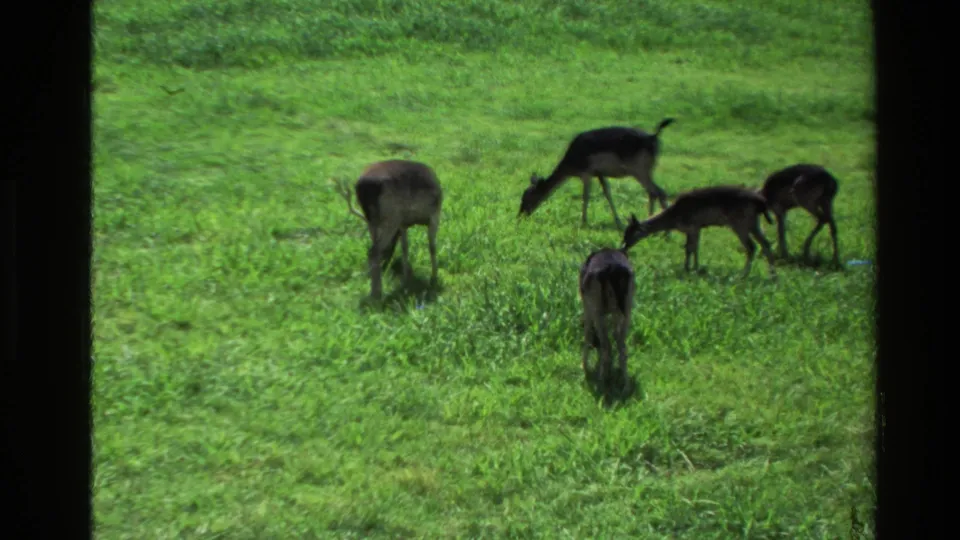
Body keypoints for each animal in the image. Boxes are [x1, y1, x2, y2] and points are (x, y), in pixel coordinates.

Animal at [334, 160, 443, 301]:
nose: (386, 265)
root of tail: (364, 187)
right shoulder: (434, 216)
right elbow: (432, 247)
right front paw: (434, 277)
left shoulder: (403, 224)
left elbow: (405, 247)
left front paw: (406, 277)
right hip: (391, 216)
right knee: (373, 252)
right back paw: (377, 293)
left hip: (373, 220)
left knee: (373, 248)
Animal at [517, 118, 676, 230]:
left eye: (527, 197)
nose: (520, 215)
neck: (572, 166)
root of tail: (654, 137)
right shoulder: (599, 173)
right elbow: (607, 193)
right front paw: (618, 222)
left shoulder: (586, 172)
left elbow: (586, 195)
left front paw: (583, 222)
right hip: (645, 170)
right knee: (653, 192)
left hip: (639, 168)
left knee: (658, 191)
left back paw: (664, 232)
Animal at [579, 247, 636, 391]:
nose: (595, 345)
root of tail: (613, 269)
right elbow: (614, 333)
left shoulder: (587, 305)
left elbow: (588, 333)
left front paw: (584, 366)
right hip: (628, 305)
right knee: (621, 344)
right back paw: (625, 385)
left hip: (596, 305)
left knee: (606, 344)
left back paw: (601, 381)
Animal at [621, 185, 777, 278]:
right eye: (625, 232)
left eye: (631, 233)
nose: (623, 247)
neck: (674, 219)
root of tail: (761, 203)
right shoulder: (695, 228)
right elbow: (691, 248)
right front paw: (691, 267)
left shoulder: (693, 226)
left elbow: (691, 248)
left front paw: (692, 268)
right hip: (753, 223)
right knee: (766, 243)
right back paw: (772, 275)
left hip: (740, 223)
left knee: (751, 247)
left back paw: (743, 274)